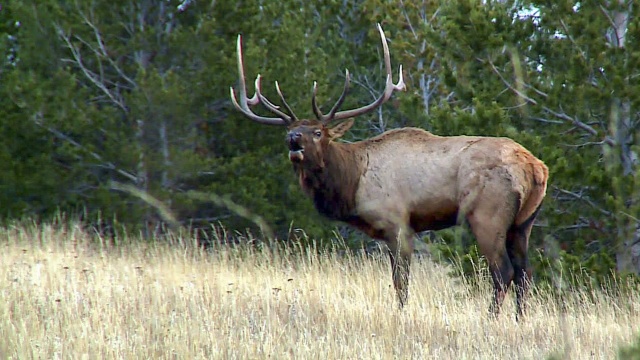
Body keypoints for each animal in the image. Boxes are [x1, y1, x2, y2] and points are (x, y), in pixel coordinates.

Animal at [228, 24, 548, 318]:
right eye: (290, 131)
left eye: (318, 132)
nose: (293, 140)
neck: (352, 182)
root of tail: (536, 167)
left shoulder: (398, 223)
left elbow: (400, 283)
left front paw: (401, 315)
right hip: (523, 221)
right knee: (525, 272)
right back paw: (519, 320)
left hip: (487, 214)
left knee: (504, 272)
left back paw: (491, 320)